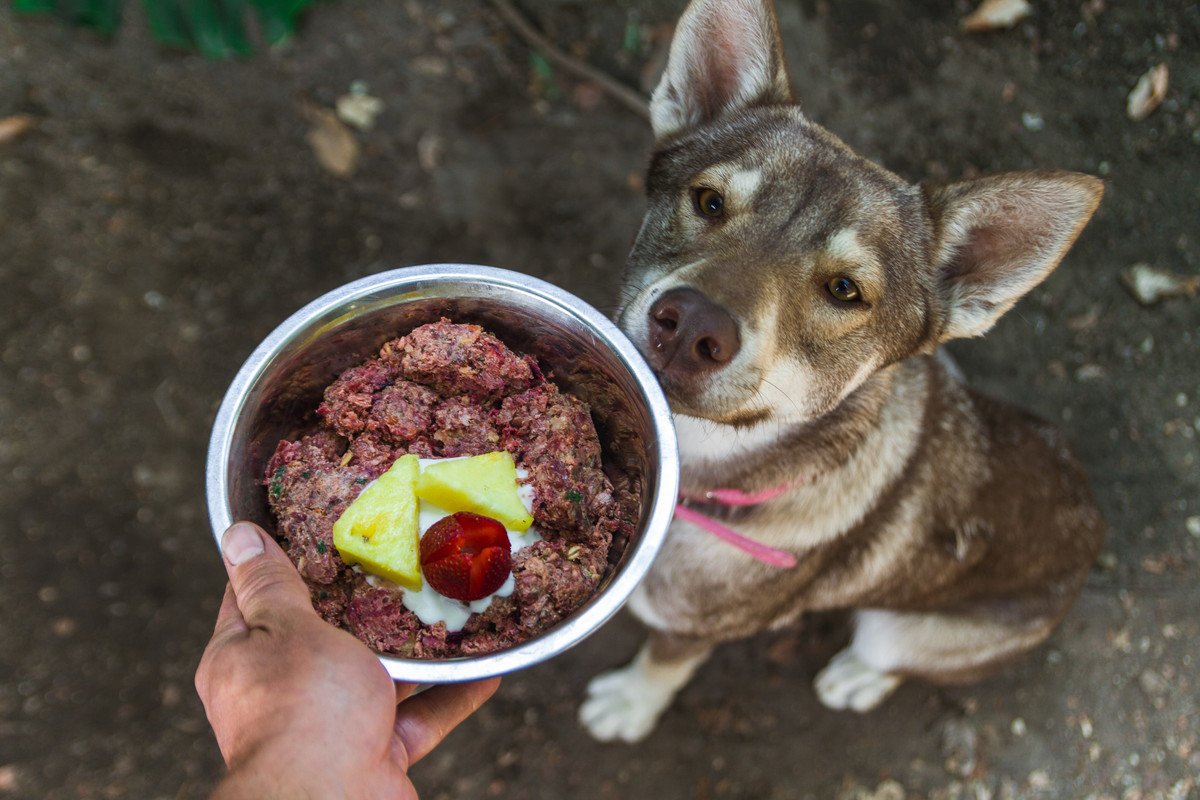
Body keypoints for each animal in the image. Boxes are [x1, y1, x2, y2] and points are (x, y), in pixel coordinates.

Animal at [580, 0, 1104, 743]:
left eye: (845, 290)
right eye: (709, 202)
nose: (691, 325)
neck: (705, 461)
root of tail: (1095, 528)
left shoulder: (694, 628)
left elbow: (664, 664)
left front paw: (631, 703)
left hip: (912, 631)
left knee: (895, 657)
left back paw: (857, 677)